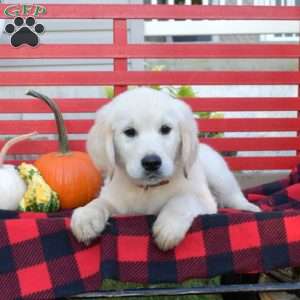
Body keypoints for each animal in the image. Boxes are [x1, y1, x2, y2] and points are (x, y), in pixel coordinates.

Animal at [71, 86, 260, 251]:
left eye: (165, 129)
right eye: (130, 132)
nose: (151, 162)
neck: (148, 189)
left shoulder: (205, 200)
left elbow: (182, 200)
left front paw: (168, 226)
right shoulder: (116, 202)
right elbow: (98, 202)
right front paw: (86, 217)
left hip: (219, 176)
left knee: (233, 196)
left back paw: (250, 208)